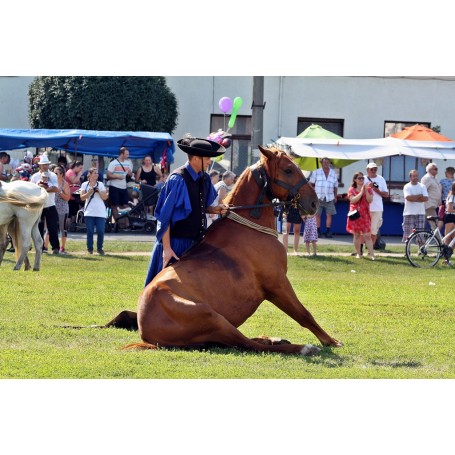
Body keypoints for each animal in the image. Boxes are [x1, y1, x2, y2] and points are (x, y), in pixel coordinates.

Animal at [108, 146, 342, 356]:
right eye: (288, 170)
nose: (314, 203)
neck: (248, 227)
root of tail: (145, 332)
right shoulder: (277, 283)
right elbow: (304, 314)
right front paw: (330, 341)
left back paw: (273, 338)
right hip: (212, 317)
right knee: (248, 345)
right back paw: (300, 347)